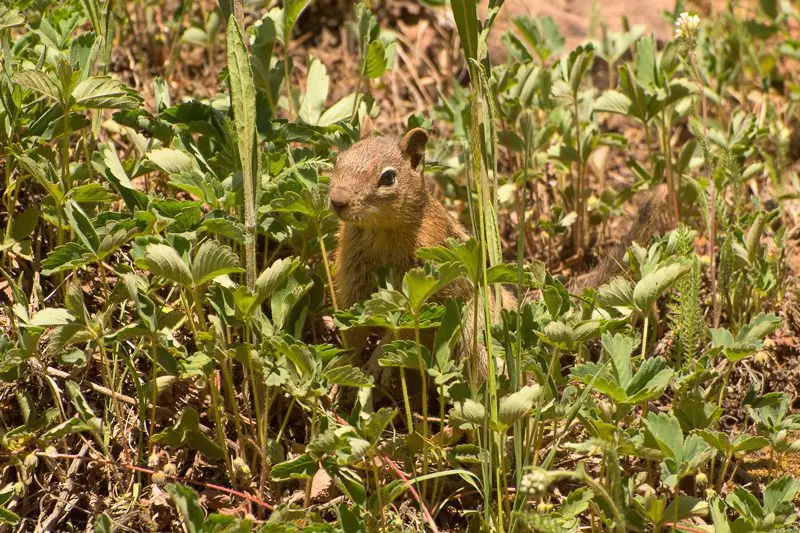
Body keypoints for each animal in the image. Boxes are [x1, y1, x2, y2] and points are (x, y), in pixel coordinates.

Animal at [329, 121, 665, 389]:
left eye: (387, 177)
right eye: (338, 159)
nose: (337, 201)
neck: (380, 232)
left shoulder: (430, 287)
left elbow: (408, 328)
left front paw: (376, 360)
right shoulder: (354, 274)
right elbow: (354, 323)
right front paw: (343, 367)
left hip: (474, 334)